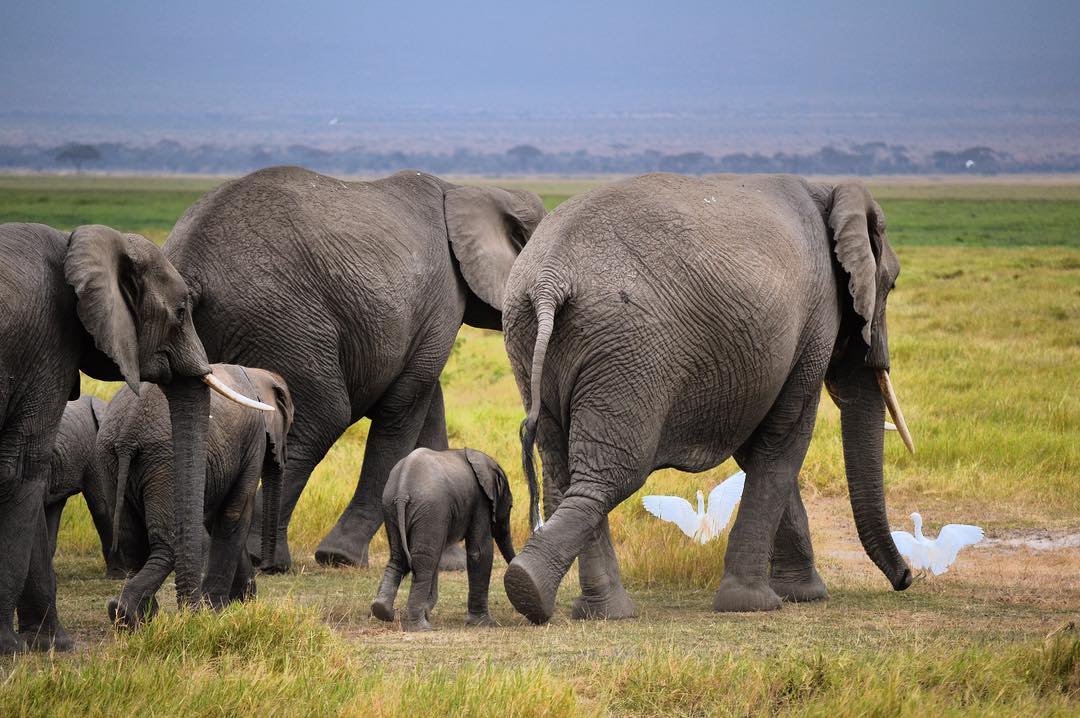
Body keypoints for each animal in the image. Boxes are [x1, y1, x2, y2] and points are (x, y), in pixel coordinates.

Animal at [99, 364, 293, 627]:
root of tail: (128, 433)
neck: (256, 375)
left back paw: (128, 614)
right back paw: (133, 614)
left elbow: (217, 519)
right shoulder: (253, 441)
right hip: (166, 462)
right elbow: (234, 512)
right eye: (289, 424)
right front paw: (217, 610)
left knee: (132, 539)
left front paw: (243, 603)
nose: (268, 566)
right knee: (168, 541)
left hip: (109, 460)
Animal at [163, 166, 544, 572]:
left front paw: (447, 561)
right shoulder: (441, 301)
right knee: (321, 418)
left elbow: (429, 406)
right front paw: (341, 557)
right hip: (282, 321)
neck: (468, 191)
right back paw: (265, 560)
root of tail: (189, 264)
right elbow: (405, 407)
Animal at [371, 448, 515, 632]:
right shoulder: (480, 501)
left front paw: (427, 610)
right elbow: (479, 553)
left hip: (390, 507)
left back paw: (384, 612)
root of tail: (402, 490)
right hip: (430, 509)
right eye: (510, 507)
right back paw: (421, 628)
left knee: (399, 557)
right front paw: (485, 624)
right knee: (424, 563)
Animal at [500, 174, 915, 624]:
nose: (907, 578)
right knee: (611, 475)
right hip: (629, 351)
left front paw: (803, 595)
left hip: (530, 338)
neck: (829, 192)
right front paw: (756, 604)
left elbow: (758, 450)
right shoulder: (816, 318)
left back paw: (590, 608)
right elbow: (784, 441)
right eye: (891, 285)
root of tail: (549, 279)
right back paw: (536, 591)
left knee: (563, 470)